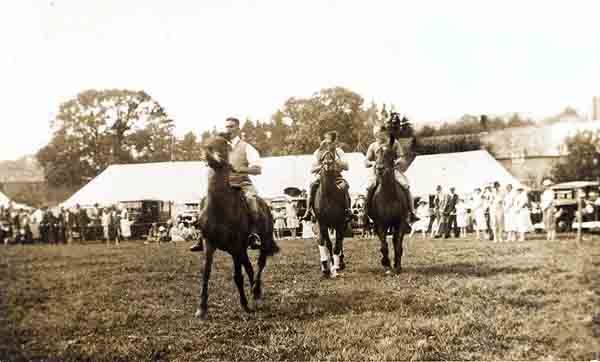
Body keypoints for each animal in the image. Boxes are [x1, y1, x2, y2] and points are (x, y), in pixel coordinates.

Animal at [197, 136, 282, 320]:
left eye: (222, 146)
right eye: (207, 145)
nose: (207, 156)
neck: (219, 208)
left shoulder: (236, 246)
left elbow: (237, 276)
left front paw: (244, 305)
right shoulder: (209, 244)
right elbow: (206, 273)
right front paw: (202, 308)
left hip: (261, 242)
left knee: (260, 264)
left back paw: (255, 291)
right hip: (241, 250)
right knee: (250, 267)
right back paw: (256, 293)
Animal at [368, 144, 410, 274]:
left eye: (389, 154)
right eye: (376, 154)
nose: (380, 168)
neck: (388, 195)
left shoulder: (400, 222)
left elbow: (398, 245)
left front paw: (397, 266)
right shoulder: (381, 224)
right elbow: (384, 246)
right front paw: (387, 265)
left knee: (395, 241)